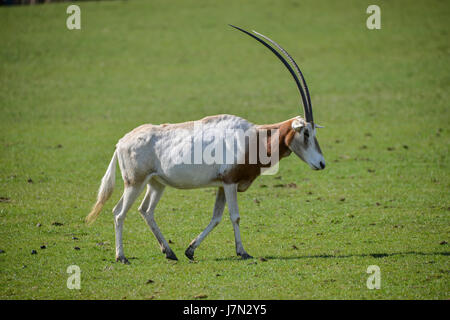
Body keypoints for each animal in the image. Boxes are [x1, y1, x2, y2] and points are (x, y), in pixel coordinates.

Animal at [85, 25, 324, 262]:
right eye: (305, 133)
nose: (321, 164)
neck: (254, 137)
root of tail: (121, 142)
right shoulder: (230, 182)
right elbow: (234, 216)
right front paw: (242, 252)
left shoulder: (222, 184)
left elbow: (216, 217)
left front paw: (190, 250)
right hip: (135, 182)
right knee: (119, 213)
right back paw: (121, 256)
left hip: (156, 183)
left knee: (145, 211)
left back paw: (169, 252)